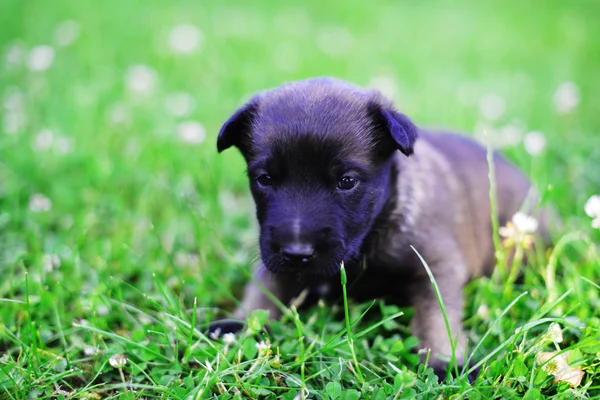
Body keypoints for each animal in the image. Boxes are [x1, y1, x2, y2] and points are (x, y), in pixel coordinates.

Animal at [212, 77, 544, 378]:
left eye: (347, 181)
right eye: (265, 179)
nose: (297, 253)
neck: (370, 238)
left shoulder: (436, 264)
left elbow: (437, 313)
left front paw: (444, 358)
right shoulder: (274, 256)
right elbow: (264, 287)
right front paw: (240, 322)